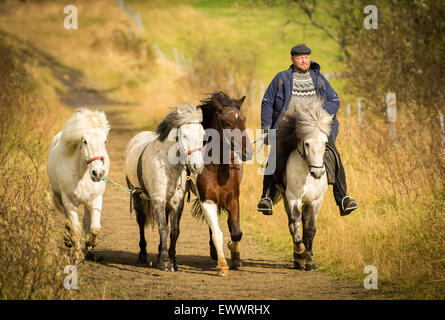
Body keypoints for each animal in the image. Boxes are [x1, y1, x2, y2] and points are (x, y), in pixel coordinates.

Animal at [47, 108, 110, 262]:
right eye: (85, 141)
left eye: (105, 141)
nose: (97, 173)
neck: (81, 174)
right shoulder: (68, 201)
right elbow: (75, 228)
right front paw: (77, 255)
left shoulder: (95, 199)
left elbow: (95, 227)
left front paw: (90, 244)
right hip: (59, 197)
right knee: (67, 220)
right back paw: (68, 240)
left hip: (87, 202)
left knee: (87, 221)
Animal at [125, 103, 205, 270]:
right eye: (184, 135)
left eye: (203, 134)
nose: (198, 166)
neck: (168, 166)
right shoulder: (158, 200)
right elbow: (163, 228)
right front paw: (164, 262)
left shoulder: (176, 203)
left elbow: (174, 230)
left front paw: (173, 261)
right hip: (136, 194)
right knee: (141, 220)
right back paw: (143, 255)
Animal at [192, 91, 251, 276]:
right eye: (226, 122)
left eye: (244, 119)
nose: (247, 152)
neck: (216, 169)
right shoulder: (207, 201)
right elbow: (217, 233)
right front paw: (223, 265)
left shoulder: (233, 199)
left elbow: (236, 232)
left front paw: (236, 257)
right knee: (212, 228)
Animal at [274, 97, 332, 270]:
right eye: (306, 143)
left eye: (325, 143)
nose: (318, 173)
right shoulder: (293, 197)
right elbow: (295, 222)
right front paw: (300, 251)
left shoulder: (317, 200)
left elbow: (310, 229)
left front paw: (310, 260)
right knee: (292, 224)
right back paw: (298, 258)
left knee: (305, 223)